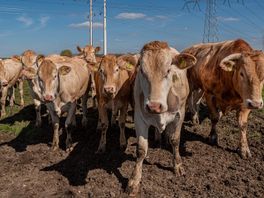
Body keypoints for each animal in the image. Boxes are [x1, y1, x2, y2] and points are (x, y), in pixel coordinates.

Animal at [127, 40, 197, 196]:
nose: (154, 106)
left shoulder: (179, 114)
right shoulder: (139, 117)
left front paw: (178, 165)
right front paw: (134, 180)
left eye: (168, 70)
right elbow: (141, 149)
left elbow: (175, 140)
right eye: (142, 71)